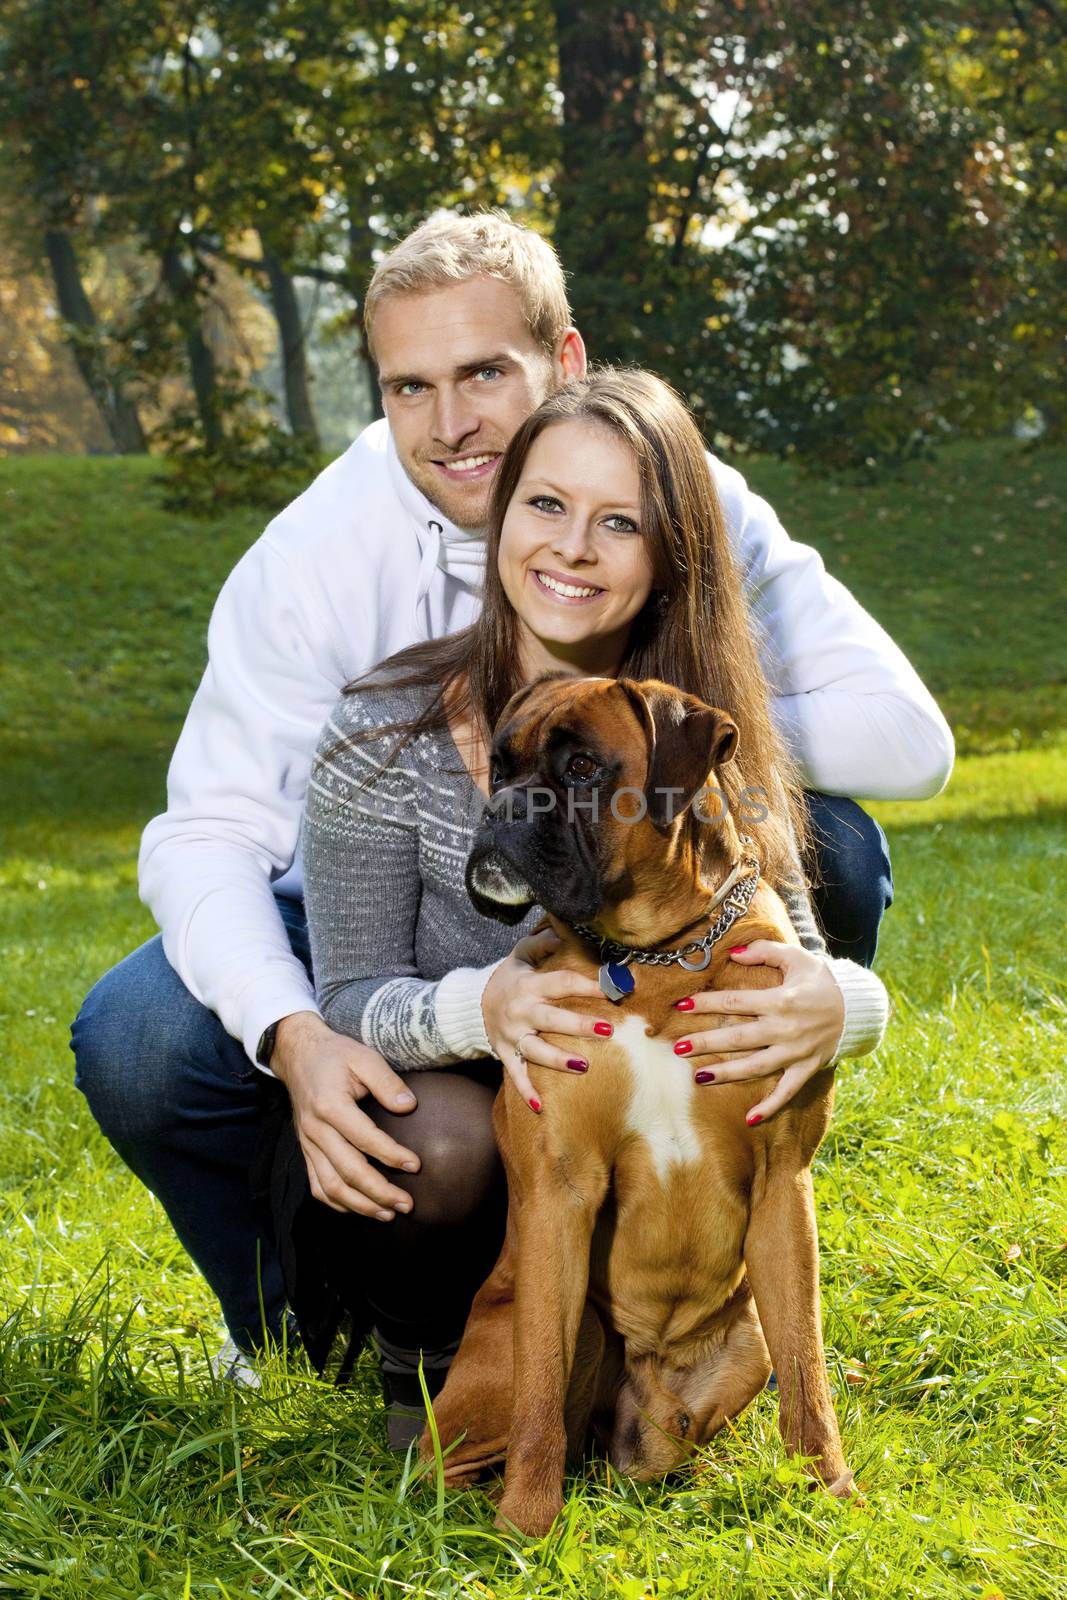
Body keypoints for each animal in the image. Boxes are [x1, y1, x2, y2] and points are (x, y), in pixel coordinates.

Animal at [422, 675, 857, 1536]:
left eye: (584, 767)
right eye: (500, 766)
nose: (502, 809)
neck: (655, 959)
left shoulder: (782, 1184)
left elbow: (808, 1369)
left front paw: (828, 1494)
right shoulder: (560, 1191)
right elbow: (538, 1393)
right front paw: (526, 1525)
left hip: (737, 1349)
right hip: (532, 1346)